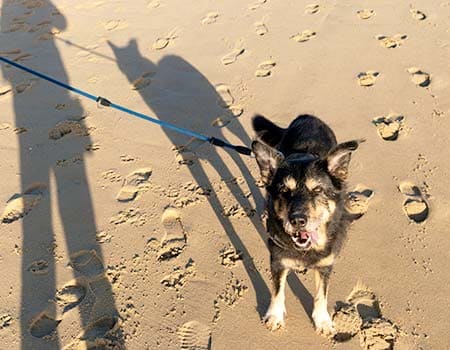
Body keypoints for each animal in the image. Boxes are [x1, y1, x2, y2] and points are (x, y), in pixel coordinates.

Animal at [251, 113, 364, 334]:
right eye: (284, 191)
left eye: (317, 190)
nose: (297, 220)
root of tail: (307, 116)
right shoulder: (278, 261)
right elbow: (277, 290)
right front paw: (275, 316)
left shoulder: (326, 264)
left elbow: (321, 295)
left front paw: (323, 321)